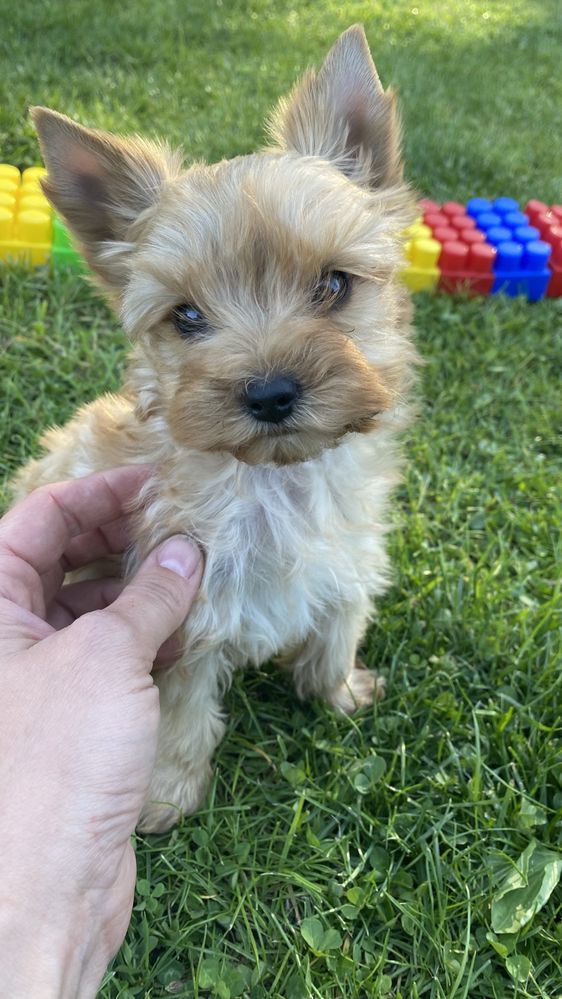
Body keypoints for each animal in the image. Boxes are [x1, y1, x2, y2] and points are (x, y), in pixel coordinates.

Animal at [13, 25, 416, 836]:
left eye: (333, 284)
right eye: (188, 317)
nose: (270, 392)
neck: (279, 482)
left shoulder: (349, 560)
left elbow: (337, 628)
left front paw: (340, 694)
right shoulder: (185, 615)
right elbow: (181, 711)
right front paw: (164, 796)